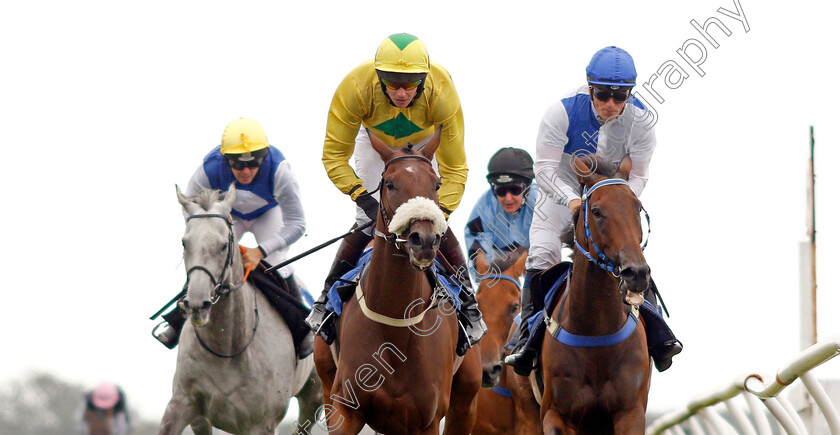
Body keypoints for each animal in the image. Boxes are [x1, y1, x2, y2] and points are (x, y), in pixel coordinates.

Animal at [158, 186, 322, 434]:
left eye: (223, 245)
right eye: (185, 243)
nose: (197, 304)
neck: (227, 347)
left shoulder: (261, 424)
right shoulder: (184, 407)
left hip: (315, 396)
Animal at [312, 131, 482, 435]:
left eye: (436, 184)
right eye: (390, 184)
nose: (423, 239)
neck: (394, 321)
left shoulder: (426, 419)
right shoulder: (345, 409)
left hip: (466, 400)